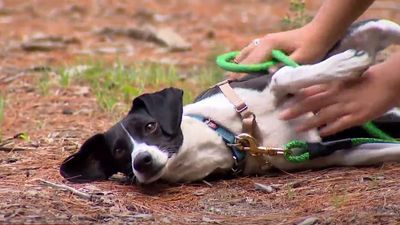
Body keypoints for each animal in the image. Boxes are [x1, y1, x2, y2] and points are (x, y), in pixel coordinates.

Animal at [59, 19, 400, 184]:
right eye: (119, 152)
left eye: (151, 127)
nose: (140, 161)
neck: (228, 133)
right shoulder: (337, 152)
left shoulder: (266, 84)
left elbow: (283, 76)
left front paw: (343, 66)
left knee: (382, 26)